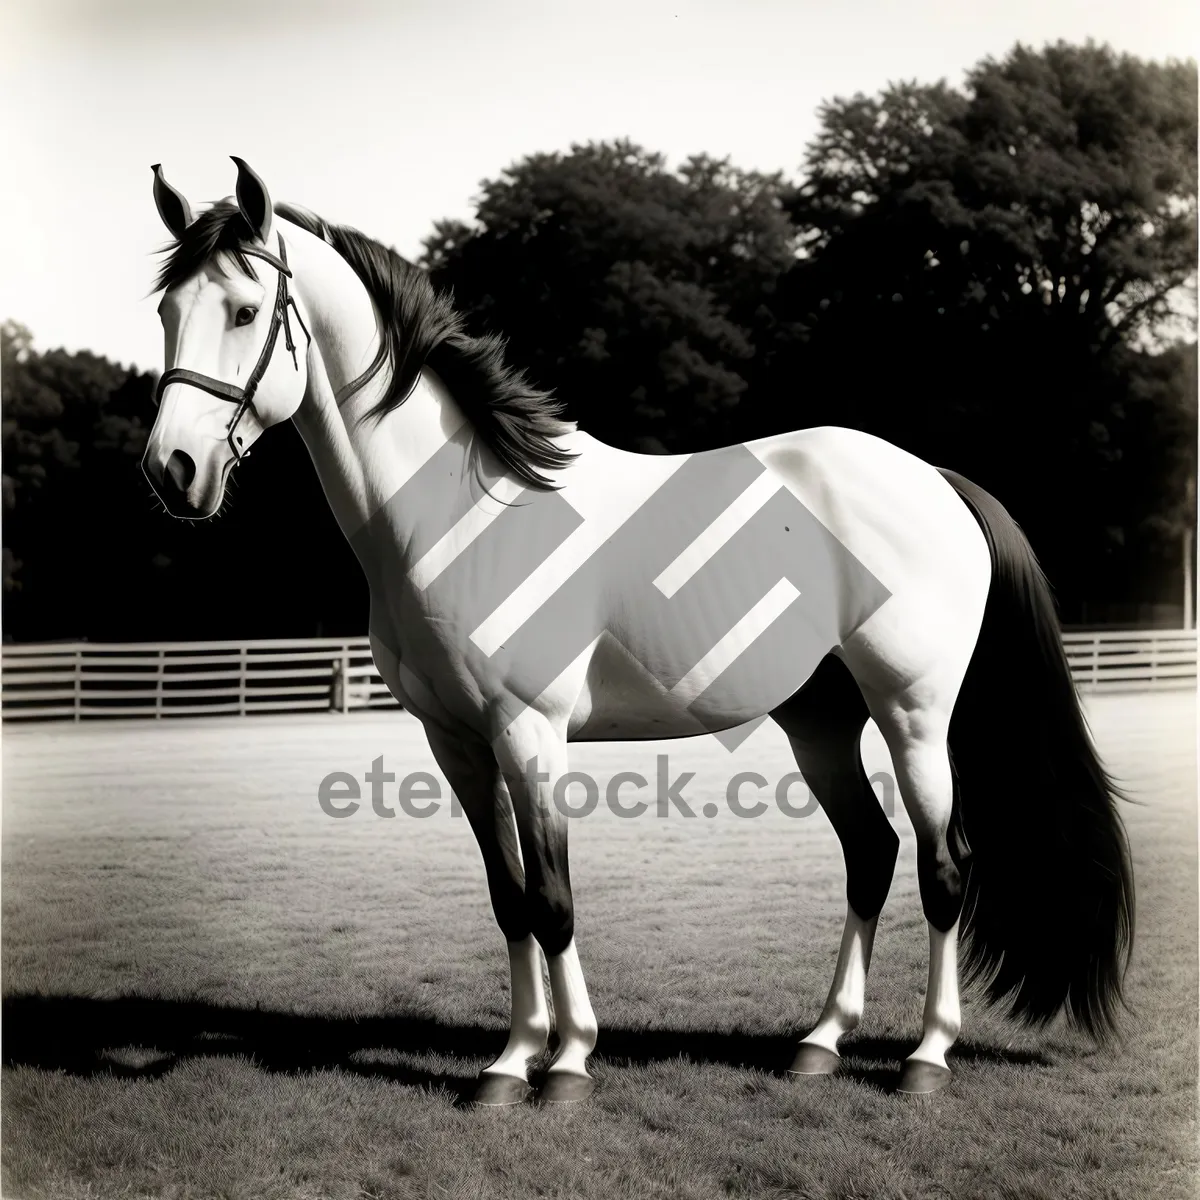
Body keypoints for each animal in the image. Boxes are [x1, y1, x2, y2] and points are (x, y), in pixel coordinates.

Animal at [140, 159, 1132, 1104]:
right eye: (166, 312)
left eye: (244, 310)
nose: (172, 471)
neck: (461, 511)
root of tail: (934, 479)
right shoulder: (456, 744)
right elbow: (507, 899)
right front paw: (510, 1061)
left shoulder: (528, 734)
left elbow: (552, 899)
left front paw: (568, 1063)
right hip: (820, 722)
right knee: (871, 855)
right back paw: (820, 1042)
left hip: (914, 714)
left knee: (943, 868)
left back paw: (927, 1054)